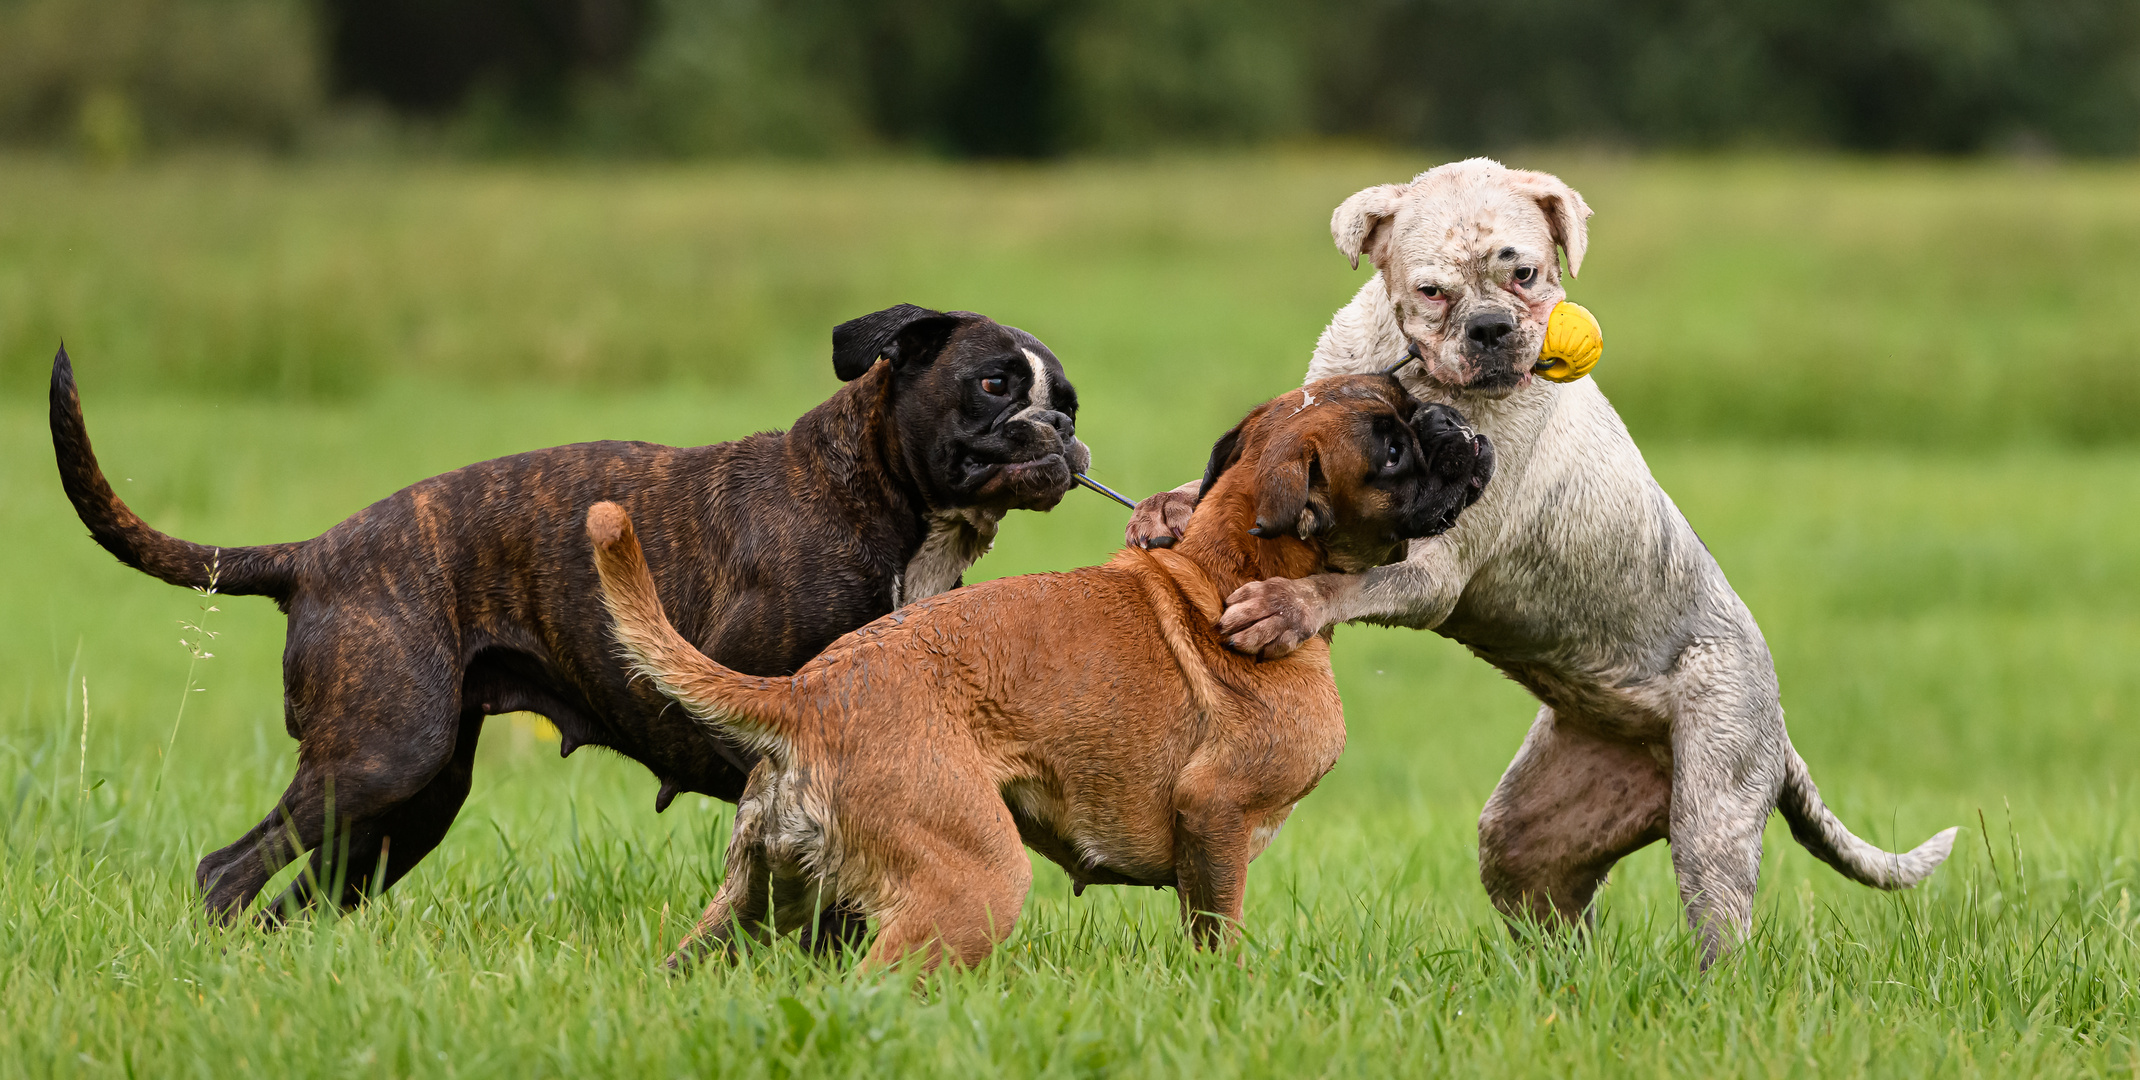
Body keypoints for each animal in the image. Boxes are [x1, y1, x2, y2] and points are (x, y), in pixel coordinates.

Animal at [582, 376, 1489, 966]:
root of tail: (807, 695)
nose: (1454, 424)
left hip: (752, 905)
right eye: (1394, 450)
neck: (1227, 571)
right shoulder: (1216, 818)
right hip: (973, 886)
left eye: (1403, 403)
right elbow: (1219, 943)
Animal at [1138, 158, 1960, 958]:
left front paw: (1283, 608)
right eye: (1432, 291)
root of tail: (1778, 727)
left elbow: (1352, 585)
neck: (1425, 378)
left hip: (1713, 814)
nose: (1491, 328)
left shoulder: (1433, 572)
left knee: (1721, 933)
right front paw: (1165, 510)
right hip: (1528, 835)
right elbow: (1221, 488)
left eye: (1525, 274)